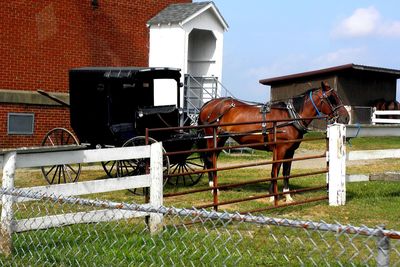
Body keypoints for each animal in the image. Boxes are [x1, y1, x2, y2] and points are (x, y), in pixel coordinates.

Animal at [198, 81, 348, 203]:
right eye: (331, 98)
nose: (346, 117)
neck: (290, 117)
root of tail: (208, 105)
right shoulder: (280, 149)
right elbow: (274, 171)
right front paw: (272, 196)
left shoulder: (290, 151)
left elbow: (286, 173)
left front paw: (287, 196)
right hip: (213, 139)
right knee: (210, 159)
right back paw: (213, 188)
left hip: (220, 140)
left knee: (212, 160)